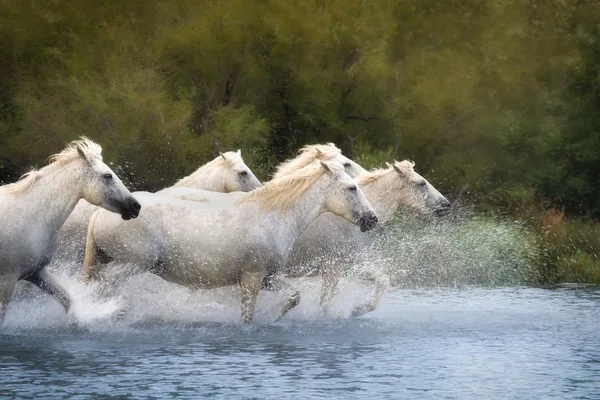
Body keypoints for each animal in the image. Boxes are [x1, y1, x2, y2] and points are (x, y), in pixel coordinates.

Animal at [0, 139, 140, 324]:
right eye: (107, 176)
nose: (136, 206)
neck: (30, 215)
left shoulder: (37, 272)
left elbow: (67, 300)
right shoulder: (7, 279)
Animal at [82, 161, 378, 324]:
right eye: (352, 187)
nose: (372, 219)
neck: (272, 216)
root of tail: (99, 214)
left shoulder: (268, 277)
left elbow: (294, 296)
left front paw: (276, 317)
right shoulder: (252, 277)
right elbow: (246, 317)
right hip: (132, 264)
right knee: (105, 284)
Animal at [278, 159, 450, 316]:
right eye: (421, 183)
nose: (446, 205)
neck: (349, 221)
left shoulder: (354, 265)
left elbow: (383, 280)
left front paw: (359, 309)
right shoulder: (333, 269)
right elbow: (324, 306)